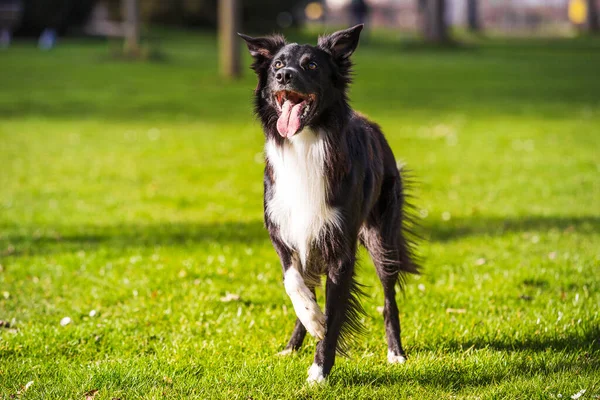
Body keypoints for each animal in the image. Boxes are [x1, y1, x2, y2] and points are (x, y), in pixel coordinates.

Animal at [238, 25, 418, 384]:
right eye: (277, 64)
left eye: (311, 65)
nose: (284, 76)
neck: (305, 143)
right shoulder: (285, 233)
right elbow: (294, 284)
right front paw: (312, 320)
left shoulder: (340, 248)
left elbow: (335, 313)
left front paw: (320, 371)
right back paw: (294, 343)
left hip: (382, 237)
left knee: (389, 298)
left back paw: (396, 352)